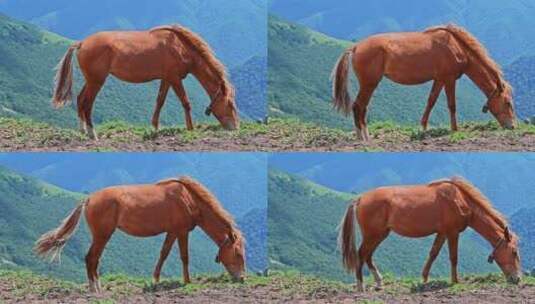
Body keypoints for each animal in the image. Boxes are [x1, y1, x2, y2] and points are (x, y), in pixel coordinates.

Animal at [34, 177, 248, 294]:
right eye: (238, 254)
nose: (242, 278)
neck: (189, 199)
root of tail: (89, 199)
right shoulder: (181, 232)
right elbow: (184, 256)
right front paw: (187, 282)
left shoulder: (171, 232)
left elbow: (163, 254)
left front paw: (155, 280)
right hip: (102, 235)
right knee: (91, 258)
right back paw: (95, 288)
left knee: (94, 259)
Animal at [51, 25, 240, 140]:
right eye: (230, 104)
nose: (235, 127)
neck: (181, 47)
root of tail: (82, 43)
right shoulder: (174, 79)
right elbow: (186, 102)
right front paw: (190, 128)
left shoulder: (166, 79)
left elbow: (160, 102)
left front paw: (155, 127)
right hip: (97, 81)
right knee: (87, 103)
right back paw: (92, 133)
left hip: (91, 80)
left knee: (80, 99)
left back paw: (83, 130)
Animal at [332, 23, 516, 140]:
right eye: (508, 103)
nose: (512, 126)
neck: (457, 46)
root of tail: (356, 47)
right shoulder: (449, 79)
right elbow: (452, 105)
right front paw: (455, 130)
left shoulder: (439, 79)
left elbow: (431, 101)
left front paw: (423, 127)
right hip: (369, 83)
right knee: (359, 106)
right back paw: (363, 136)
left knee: (361, 107)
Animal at [342, 177, 520, 290]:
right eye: (514, 252)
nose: (517, 279)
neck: (460, 200)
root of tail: (360, 198)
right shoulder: (452, 233)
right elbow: (453, 257)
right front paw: (455, 281)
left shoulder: (442, 233)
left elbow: (433, 253)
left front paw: (424, 278)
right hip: (373, 235)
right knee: (361, 254)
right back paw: (361, 285)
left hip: (379, 235)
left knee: (368, 256)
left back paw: (379, 282)